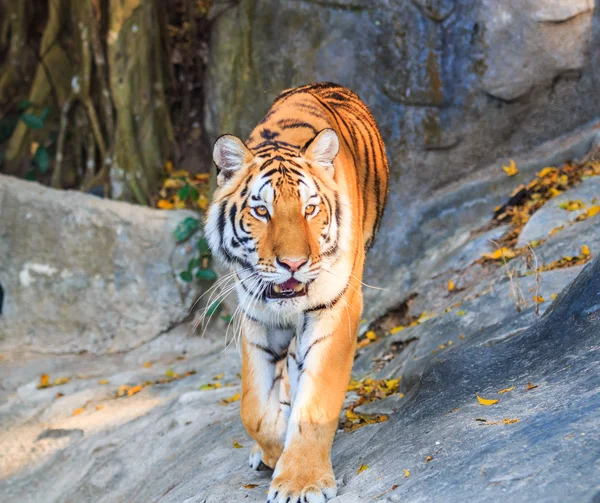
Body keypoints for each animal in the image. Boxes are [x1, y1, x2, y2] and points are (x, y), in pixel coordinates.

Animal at [205, 80, 390, 502]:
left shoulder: (335, 309)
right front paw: (273, 452)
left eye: (310, 209)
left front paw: (300, 480)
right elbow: (253, 409)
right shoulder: (256, 317)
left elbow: (316, 402)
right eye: (261, 211)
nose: (293, 263)